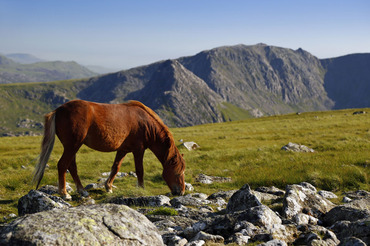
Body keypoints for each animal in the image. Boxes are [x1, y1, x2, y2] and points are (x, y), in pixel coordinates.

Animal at [32, 99, 185, 200]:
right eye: (178, 173)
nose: (181, 192)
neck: (145, 123)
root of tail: (58, 110)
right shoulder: (138, 150)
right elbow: (139, 170)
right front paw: (141, 189)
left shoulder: (123, 150)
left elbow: (115, 168)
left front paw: (108, 187)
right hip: (72, 146)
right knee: (63, 165)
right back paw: (64, 193)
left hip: (73, 147)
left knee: (72, 167)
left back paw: (82, 191)